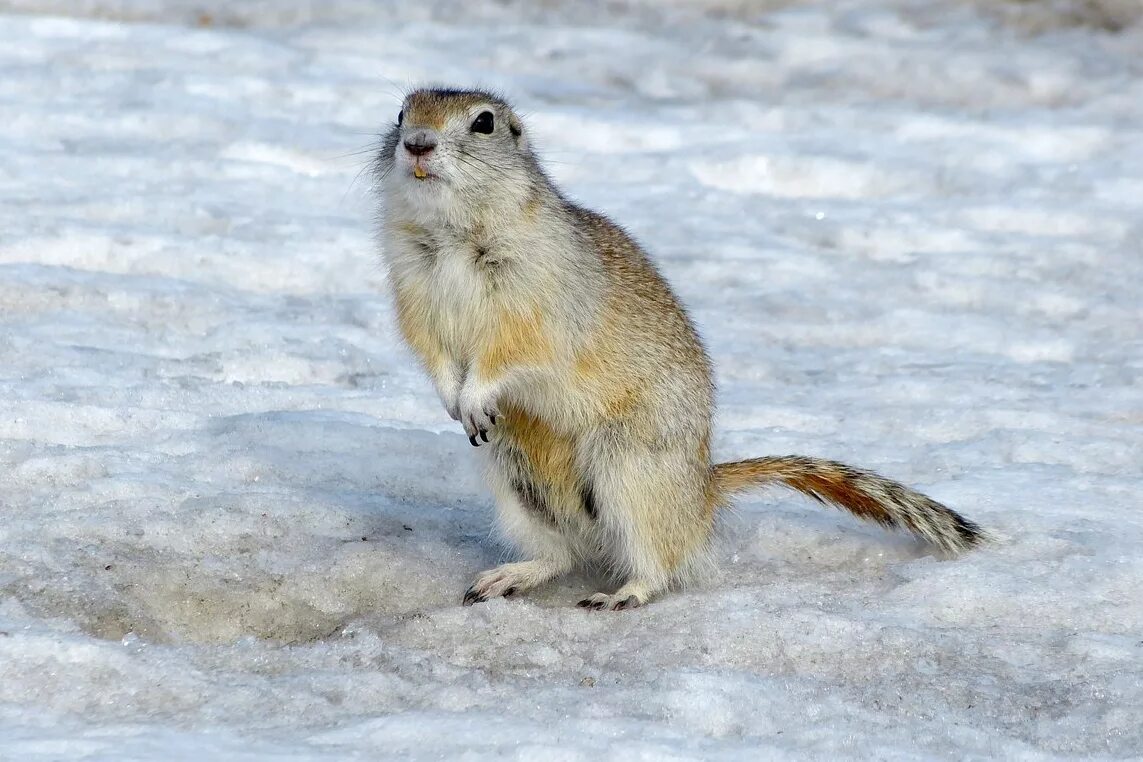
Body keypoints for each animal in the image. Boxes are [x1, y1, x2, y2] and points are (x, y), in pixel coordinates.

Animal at [372, 87, 982, 612]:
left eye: (484, 122)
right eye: (401, 113)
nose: (418, 143)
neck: (453, 235)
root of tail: (703, 490)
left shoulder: (535, 311)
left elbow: (509, 355)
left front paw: (474, 395)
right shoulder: (414, 299)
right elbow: (434, 356)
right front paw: (452, 400)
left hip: (628, 471)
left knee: (658, 563)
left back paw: (619, 595)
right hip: (515, 480)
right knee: (560, 555)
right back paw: (504, 578)